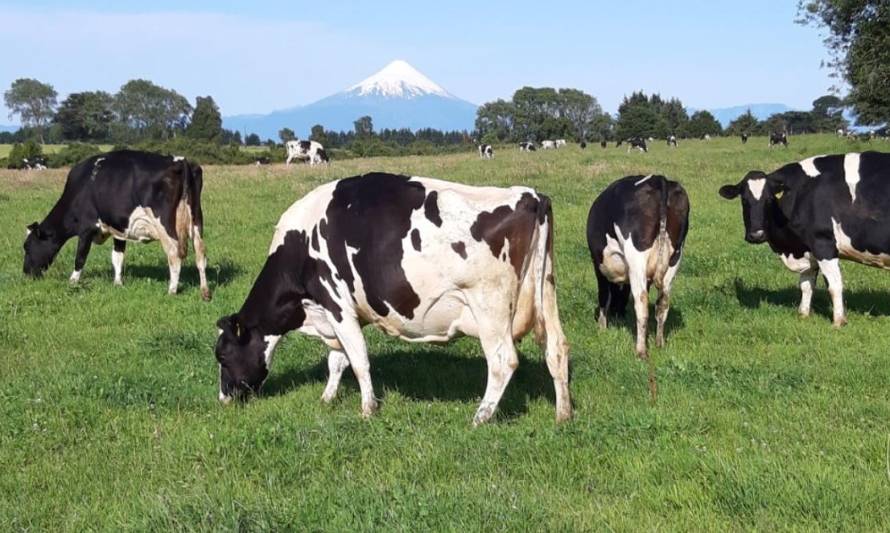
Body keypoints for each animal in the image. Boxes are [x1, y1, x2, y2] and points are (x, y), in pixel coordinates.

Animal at [22, 150, 210, 300]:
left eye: (28, 247)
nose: (26, 273)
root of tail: (180, 161)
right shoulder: (119, 228)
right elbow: (118, 256)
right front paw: (118, 283)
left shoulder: (87, 228)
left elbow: (80, 257)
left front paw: (73, 282)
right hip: (196, 220)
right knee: (200, 254)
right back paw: (205, 292)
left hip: (165, 226)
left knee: (174, 255)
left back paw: (172, 290)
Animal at [219, 172, 572, 426]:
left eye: (221, 355)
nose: (224, 400)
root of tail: (531, 196)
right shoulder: (339, 313)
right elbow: (338, 359)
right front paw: (327, 398)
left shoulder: (337, 304)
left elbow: (358, 360)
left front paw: (367, 409)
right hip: (546, 289)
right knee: (556, 349)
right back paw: (563, 414)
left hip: (490, 305)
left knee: (503, 360)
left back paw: (481, 416)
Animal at [588, 175, 692, 358]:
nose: (618, 313)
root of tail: (660, 179)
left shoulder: (598, 265)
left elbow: (603, 296)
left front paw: (602, 328)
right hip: (675, 259)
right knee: (663, 304)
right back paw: (659, 344)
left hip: (636, 259)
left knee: (642, 304)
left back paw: (641, 351)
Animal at [716, 150, 888, 324]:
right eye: (744, 200)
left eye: (769, 199)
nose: (756, 235)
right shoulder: (808, 248)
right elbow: (806, 284)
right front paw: (803, 314)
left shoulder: (823, 244)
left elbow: (834, 285)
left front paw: (838, 321)